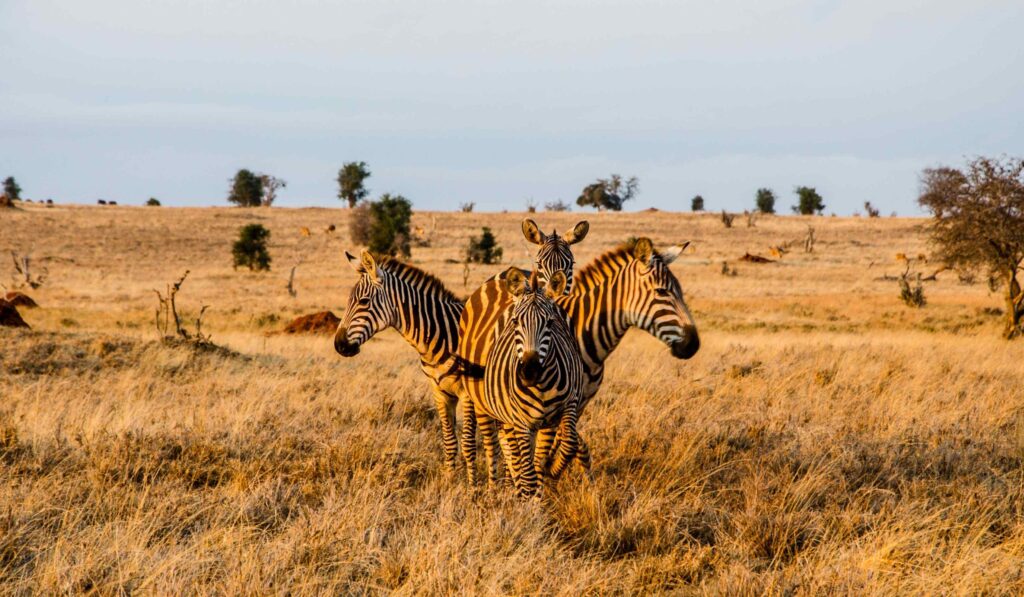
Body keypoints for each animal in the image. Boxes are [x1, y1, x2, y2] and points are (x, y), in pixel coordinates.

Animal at [333, 250, 474, 477]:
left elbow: (469, 444)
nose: (339, 345)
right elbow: (450, 441)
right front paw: (450, 480)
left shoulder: (468, 394)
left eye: (363, 301)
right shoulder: (439, 391)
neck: (443, 333)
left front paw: (473, 485)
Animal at [469, 268, 584, 498]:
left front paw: (551, 471)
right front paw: (527, 497)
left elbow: (568, 444)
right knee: (506, 450)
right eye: (515, 322)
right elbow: (527, 470)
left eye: (550, 323)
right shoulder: (521, 421)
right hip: (497, 412)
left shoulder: (568, 405)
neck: (541, 387)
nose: (529, 373)